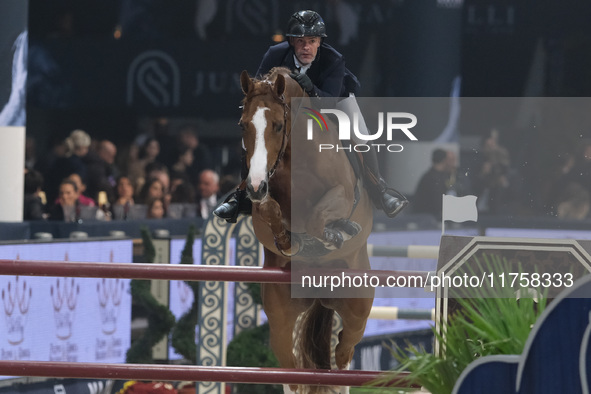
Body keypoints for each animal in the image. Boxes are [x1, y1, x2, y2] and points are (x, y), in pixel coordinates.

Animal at [239, 67, 374, 394]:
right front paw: (290, 242)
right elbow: (270, 211)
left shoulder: (342, 193)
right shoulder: (262, 205)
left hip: (357, 307)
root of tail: (318, 295)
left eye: (278, 125)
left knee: (343, 355)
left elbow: (318, 216)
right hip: (280, 315)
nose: (255, 186)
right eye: (243, 125)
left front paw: (338, 233)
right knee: (291, 371)